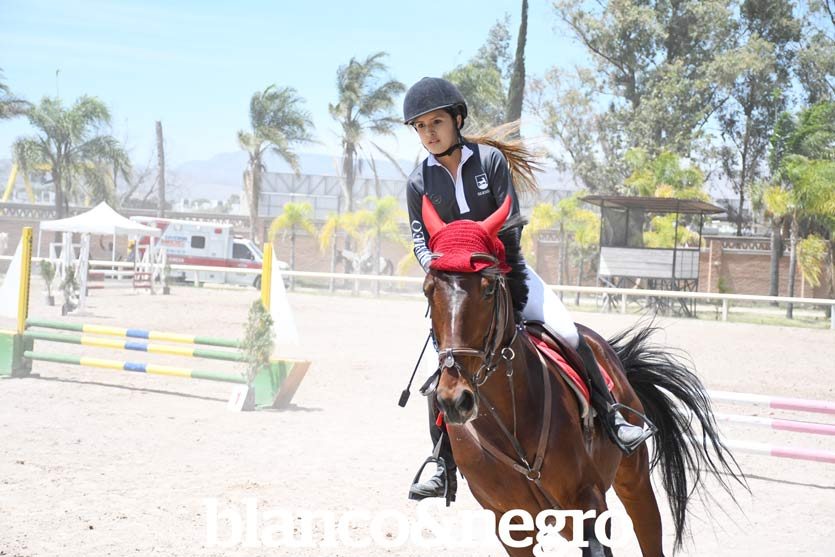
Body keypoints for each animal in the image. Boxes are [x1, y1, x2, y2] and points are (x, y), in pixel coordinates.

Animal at [420, 196, 745, 556]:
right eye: (428, 289)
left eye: (489, 289)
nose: (455, 400)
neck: (509, 425)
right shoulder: (510, 522)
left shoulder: (588, 499)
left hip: (632, 479)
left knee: (648, 531)